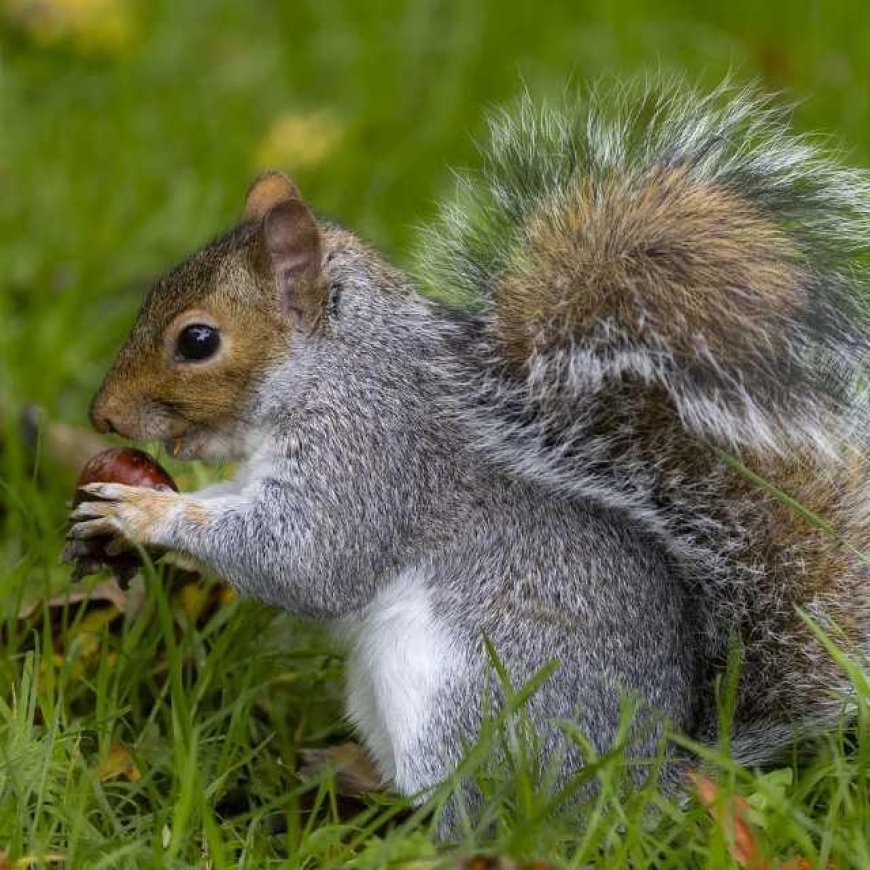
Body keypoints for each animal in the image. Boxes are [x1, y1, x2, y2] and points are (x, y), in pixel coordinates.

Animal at [63, 78, 870, 816]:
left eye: (197, 340)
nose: (103, 416)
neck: (336, 364)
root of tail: (646, 781)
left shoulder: (370, 451)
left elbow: (308, 562)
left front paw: (141, 512)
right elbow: (233, 507)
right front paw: (116, 515)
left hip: (468, 695)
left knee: (481, 810)